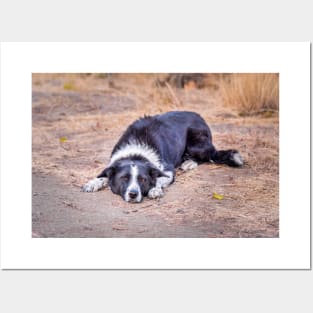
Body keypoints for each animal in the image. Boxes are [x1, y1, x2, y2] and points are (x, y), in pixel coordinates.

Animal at [81, 111, 243, 201]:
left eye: (143, 180)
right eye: (124, 178)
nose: (133, 194)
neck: (136, 151)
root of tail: (200, 117)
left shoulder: (168, 170)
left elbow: (159, 179)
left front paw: (155, 190)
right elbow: (103, 175)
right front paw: (93, 182)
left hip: (196, 143)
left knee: (208, 155)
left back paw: (189, 163)